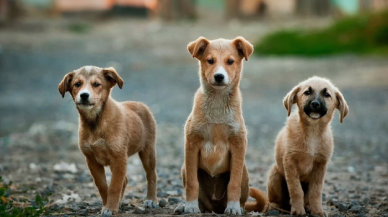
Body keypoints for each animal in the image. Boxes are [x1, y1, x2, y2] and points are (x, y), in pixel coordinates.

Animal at [58, 65, 158, 215]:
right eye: (77, 84)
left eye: (96, 84)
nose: (84, 95)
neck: (96, 122)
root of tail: (140, 104)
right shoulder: (92, 160)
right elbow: (103, 186)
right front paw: (108, 205)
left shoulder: (119, 158)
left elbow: (114, 186)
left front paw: (110, 208)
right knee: (125, 180)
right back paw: (120, 203)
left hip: (148, 150)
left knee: (151, 175)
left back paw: (151, 200)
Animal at [175, 37, 266, 215]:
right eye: (210, 61)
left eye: (230, 61)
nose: (219, 76)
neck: (217, 103)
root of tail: (215, 206)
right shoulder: (192, 144)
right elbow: (192, 183)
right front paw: (190, 206)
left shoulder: (238, 145)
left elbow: (233, 183)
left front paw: (233, 207)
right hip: (184, 168)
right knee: (201, 200)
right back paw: (186, 206)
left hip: (244, 171)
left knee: (241, 196)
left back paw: (238, 207)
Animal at [266, 76, 348, 217]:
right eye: (307, 92)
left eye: (327, 94)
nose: (315, 104)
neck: (312, 132)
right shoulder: (290, 162)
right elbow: (296, 189)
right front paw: (298, 210)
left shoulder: (320, 165)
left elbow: (316, 191)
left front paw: (317, 210)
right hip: (274, 174)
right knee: (274, 201)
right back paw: (275, 208)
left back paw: (308, 207)